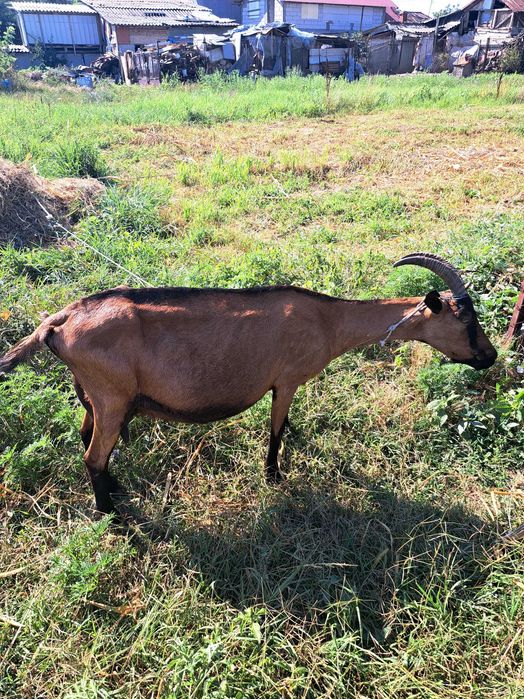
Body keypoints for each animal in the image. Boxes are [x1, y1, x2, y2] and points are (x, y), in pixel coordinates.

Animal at [0, 253, 497, 515]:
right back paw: (113, 517)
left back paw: (118, 493)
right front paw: (274, 476)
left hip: (94, 398)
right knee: (93, 456)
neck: (328, 319)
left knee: (88, 441)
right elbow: (276, 430)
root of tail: (60, 321)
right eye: (466, 319)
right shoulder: (287, 379)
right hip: (111, 396)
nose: (490, 357)